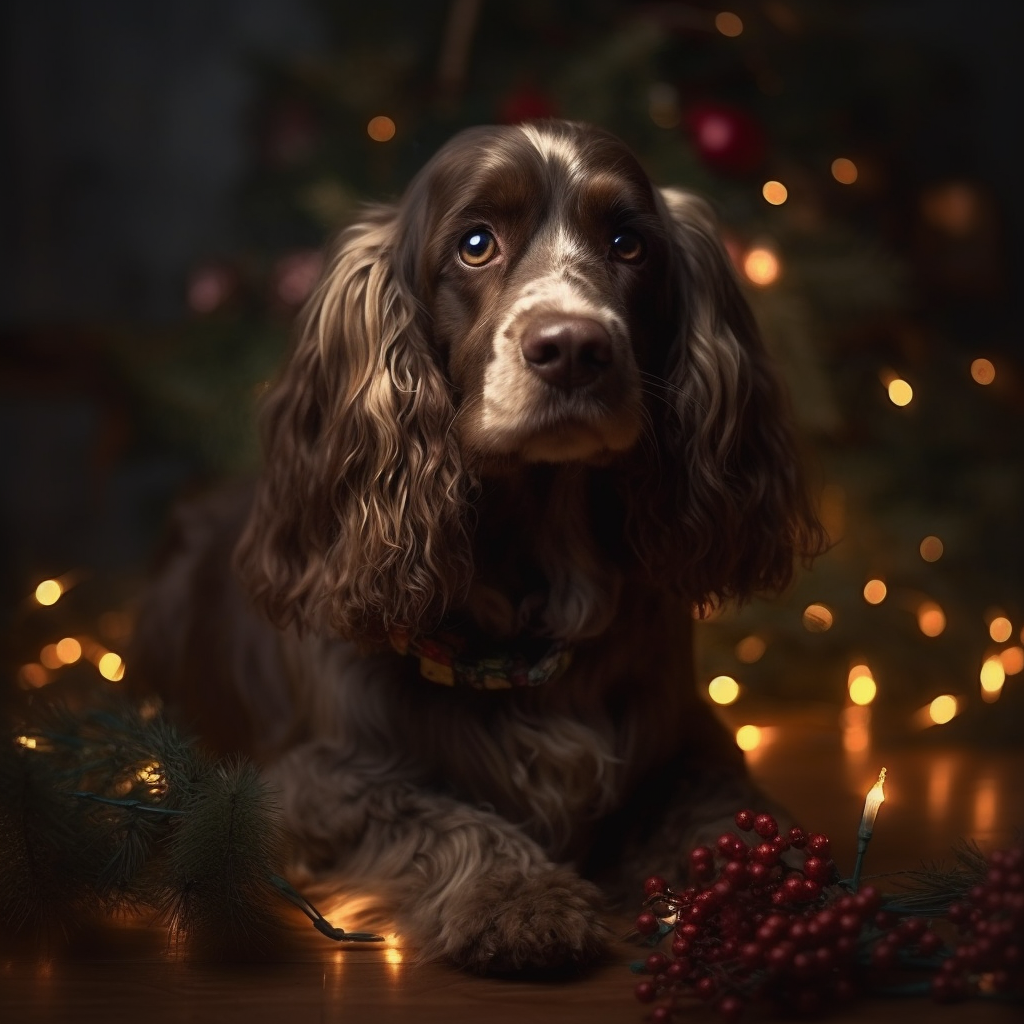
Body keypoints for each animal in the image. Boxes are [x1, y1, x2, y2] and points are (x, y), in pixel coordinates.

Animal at [134, 117, 823, 966]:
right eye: (474, 243)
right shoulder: (313, 780)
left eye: (629, 243)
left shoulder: (698, 746)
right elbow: (444, 819)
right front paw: (519, 897)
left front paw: (780, 882)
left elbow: (736, 817)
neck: (535, 577)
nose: (573, 347)